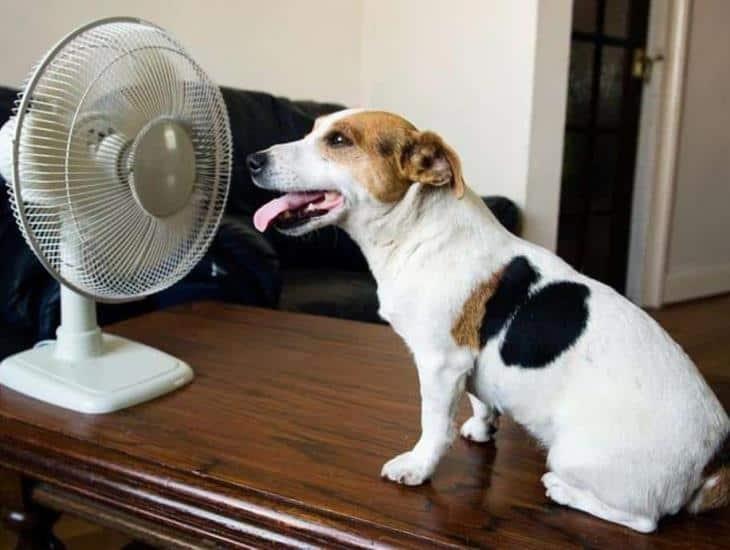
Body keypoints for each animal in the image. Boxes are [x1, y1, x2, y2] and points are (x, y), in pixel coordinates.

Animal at [247, 109, 724, 536]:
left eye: (339, 141)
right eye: (312, 129)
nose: (253, 159)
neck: (418, 230)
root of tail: (714, 462)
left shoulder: (440, 364)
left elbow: (434, 426)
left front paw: (417, 467)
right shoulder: (467, 363)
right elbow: (481, 398)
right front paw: (482, 427)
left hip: (576, 457)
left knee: (643, 521)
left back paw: (563, 491)